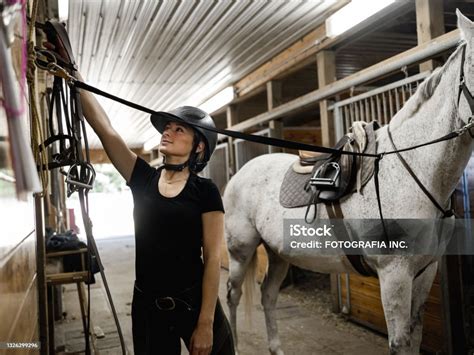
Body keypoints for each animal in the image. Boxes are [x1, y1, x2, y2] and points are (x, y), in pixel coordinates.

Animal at [223, 11, 474, 355]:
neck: (413, 171)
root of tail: (239, 173)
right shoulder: (394, 273)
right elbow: (400, 341)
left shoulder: (425, 270)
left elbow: (415, 335)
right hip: (241, 249)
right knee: (233, 295)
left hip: (277, 253)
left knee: (268, 294)